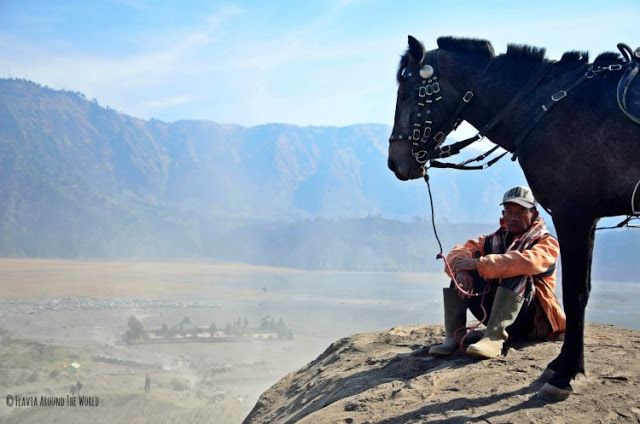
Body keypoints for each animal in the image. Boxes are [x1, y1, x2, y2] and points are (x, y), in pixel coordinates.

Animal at [384, 35, 640, 400]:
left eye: (406, 93)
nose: (395, 161)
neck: (548, 106)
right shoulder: (583, 218)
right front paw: (562, 364)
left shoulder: (574, 214)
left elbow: (576, 292)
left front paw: (566, 372)